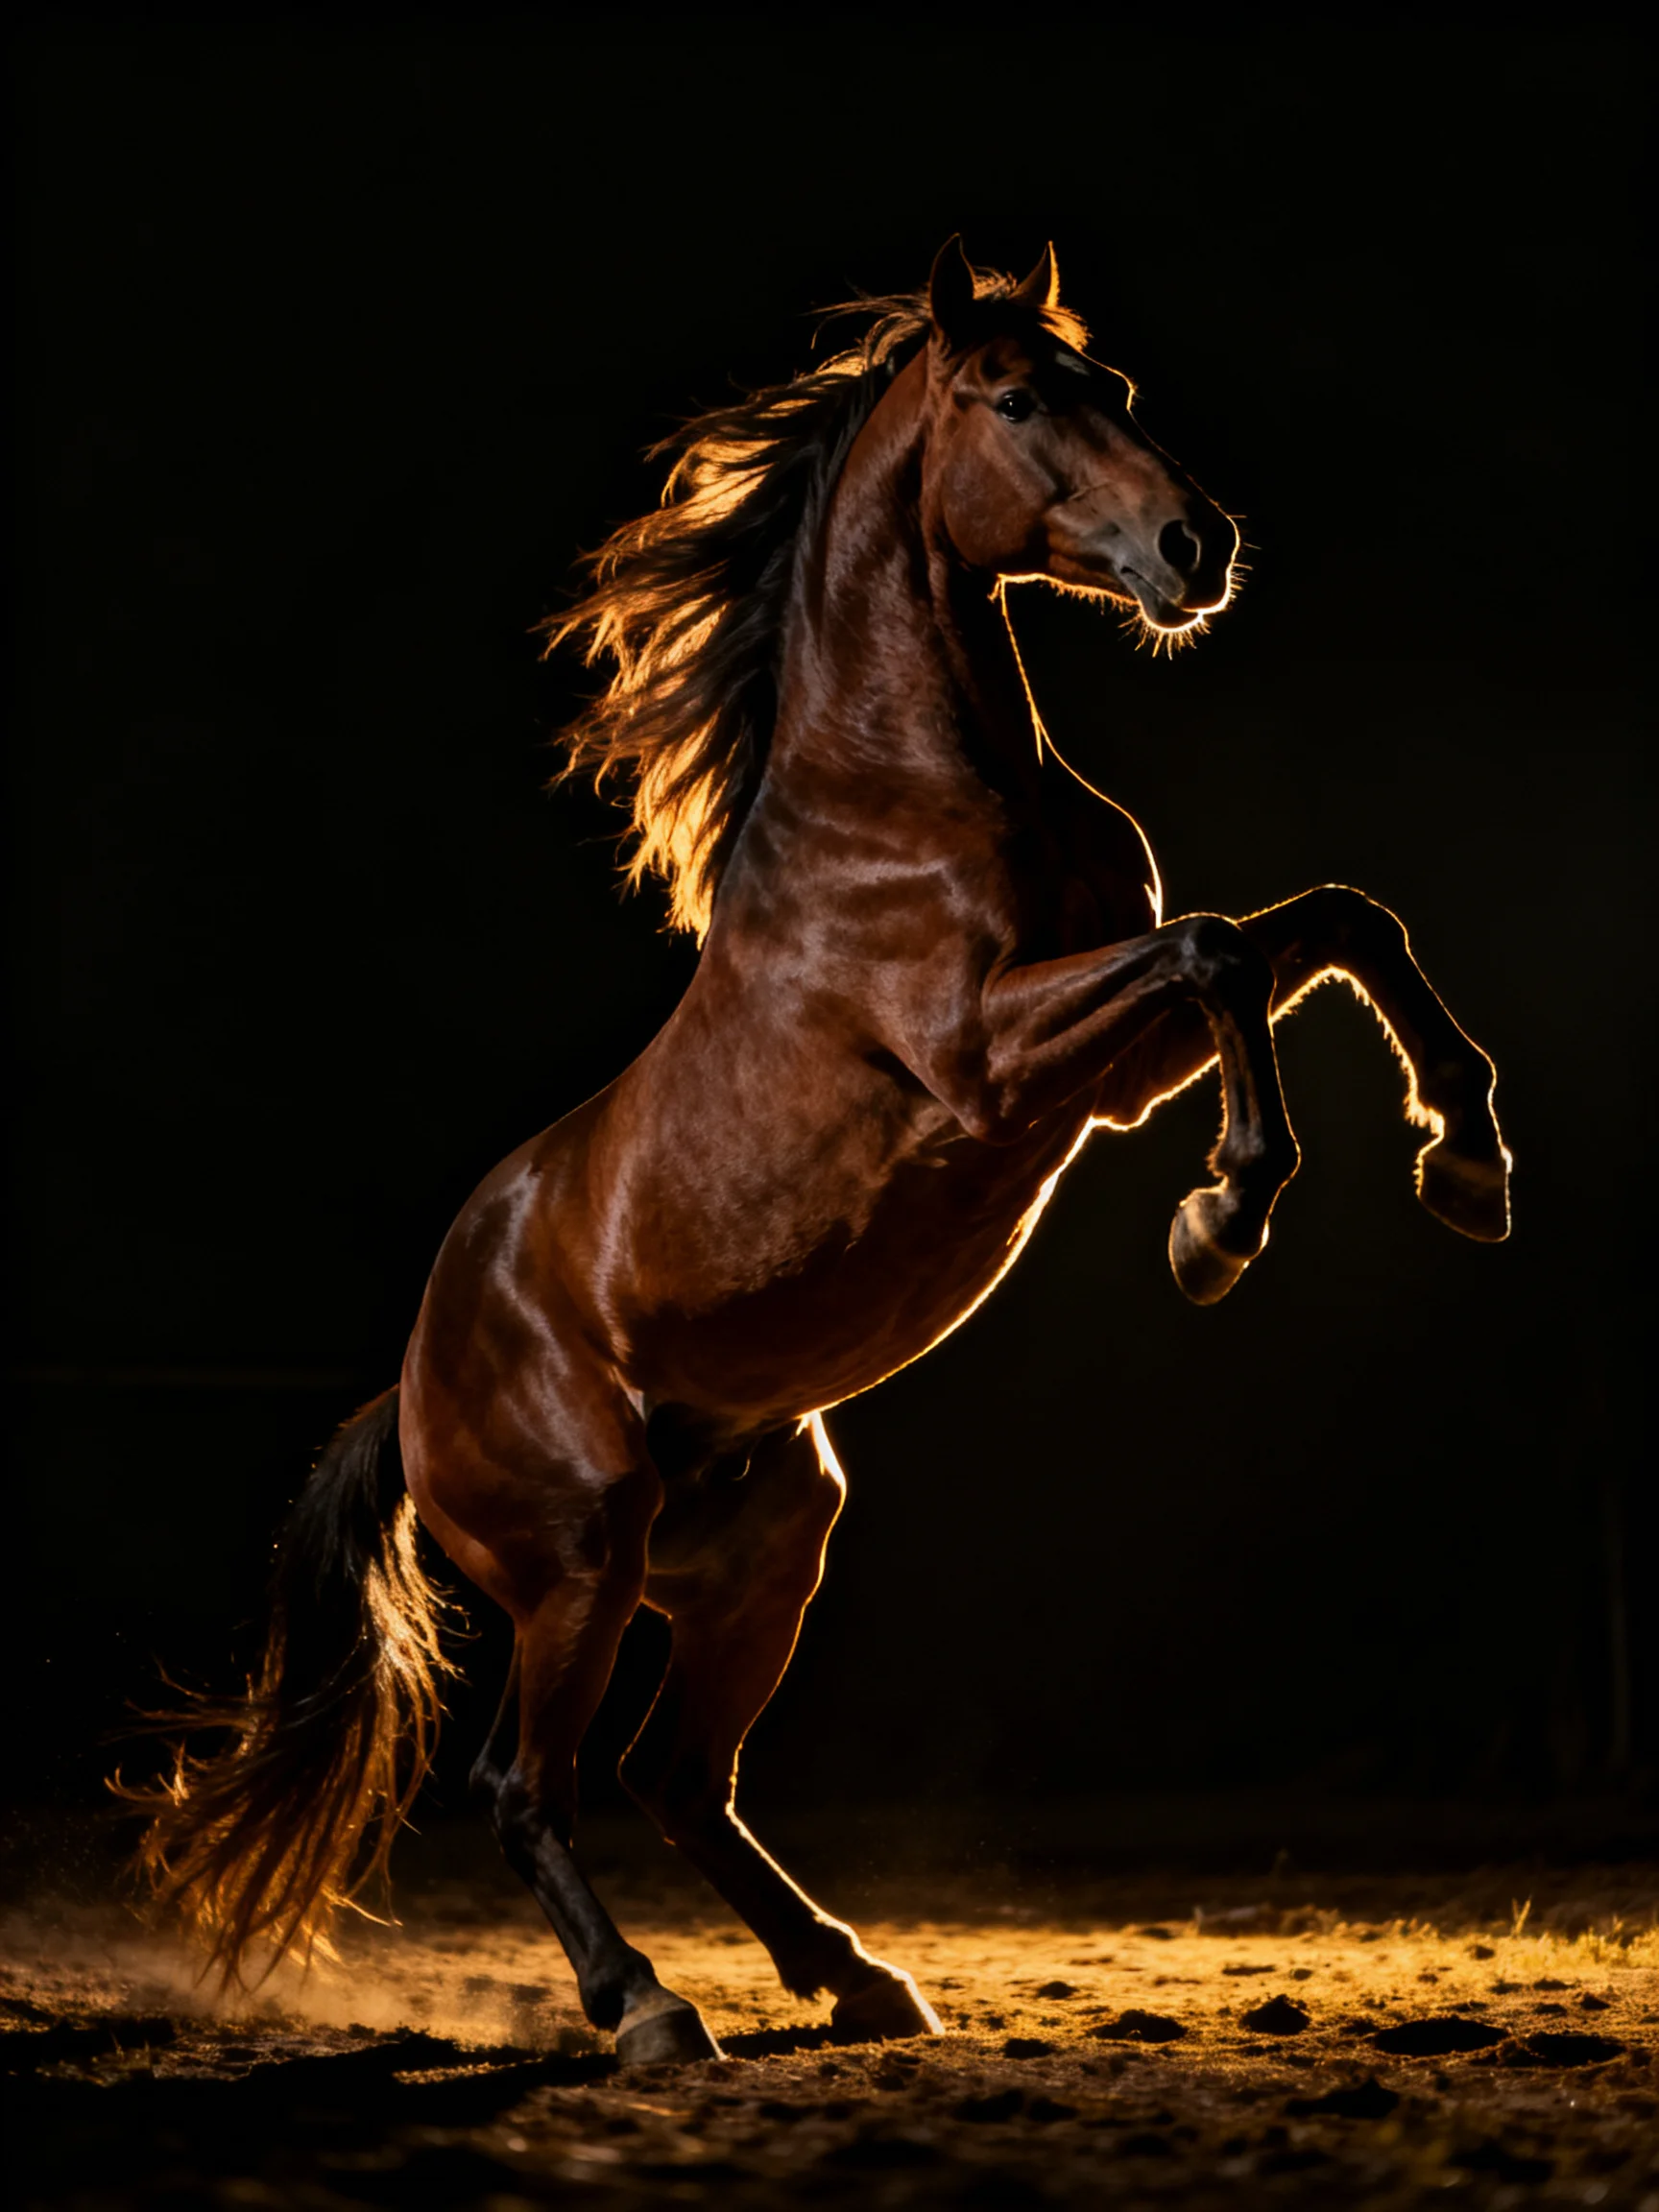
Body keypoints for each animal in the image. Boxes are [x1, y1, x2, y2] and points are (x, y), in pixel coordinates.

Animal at [126, 241, 1511, 2064]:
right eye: (1013, 396)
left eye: (1117, 388)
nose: (1191, 546)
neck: (908, 788)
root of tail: (410, 1395)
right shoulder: (996, 1064)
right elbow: (1222, 950)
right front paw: (1221, 1222)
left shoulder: (1111, 1072)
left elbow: (1330, 922)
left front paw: (1466, 1159)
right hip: (579, 1558)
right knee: (525, 1785)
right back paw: (648, 2011)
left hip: (764, 1545)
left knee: (675, 1777)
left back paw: (856, 1975)